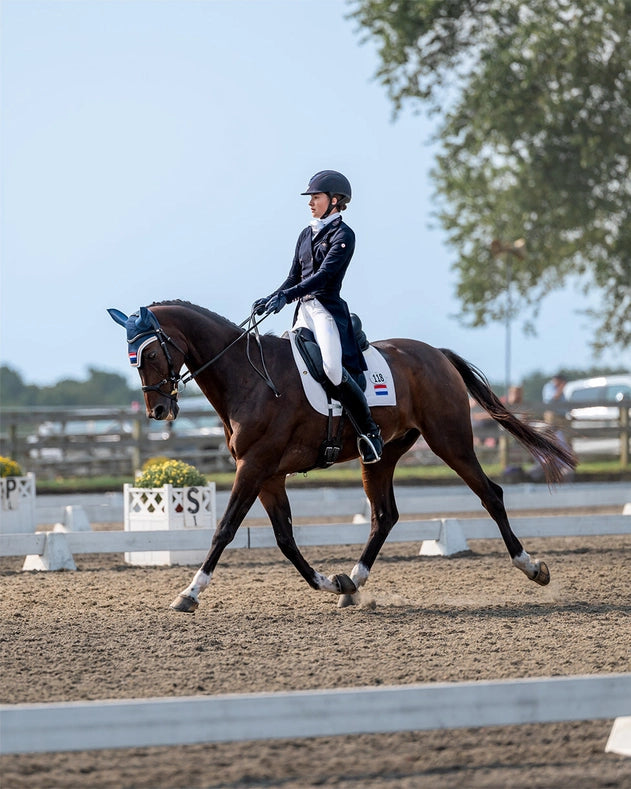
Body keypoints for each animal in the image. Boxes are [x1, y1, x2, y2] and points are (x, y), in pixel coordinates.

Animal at [110, 298, 576, 612]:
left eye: (151, 353)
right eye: (133, 359)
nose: (158, 411)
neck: (248, 377)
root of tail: (435, 354)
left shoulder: (254, 467)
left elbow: (224, 530)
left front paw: (188, 593)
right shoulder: (268, 475)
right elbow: (285, 538)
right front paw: (331, 583)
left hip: (450, 440)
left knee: (490, 494)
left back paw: (532, 567)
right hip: (383, 455)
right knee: (384, 516)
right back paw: (353, 584)